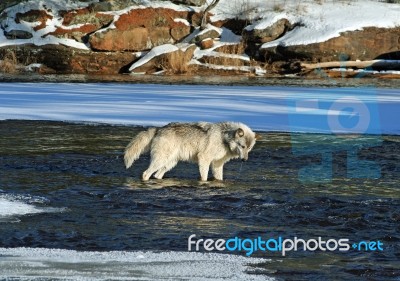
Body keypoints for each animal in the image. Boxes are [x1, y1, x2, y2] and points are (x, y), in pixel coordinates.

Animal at [123, 121, 260, 180]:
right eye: (242, 146)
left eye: (249, 148)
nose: (244, 160)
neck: (224, 138)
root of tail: (159, 129)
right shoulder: (204, 159)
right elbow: (204, 178)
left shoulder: (217, 164)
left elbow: (219, 178)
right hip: (161, 161)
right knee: (146, 174)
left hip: (170, 164)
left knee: (157, 175)